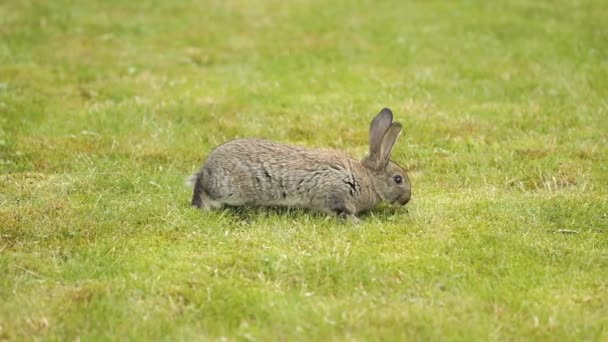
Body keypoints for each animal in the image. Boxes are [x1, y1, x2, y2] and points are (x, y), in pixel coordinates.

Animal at [188, 108, 410, 223]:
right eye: (398, 179)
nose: (407, 200)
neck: (368, 179)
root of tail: (205, 170)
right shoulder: (336, 193)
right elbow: (340, 210)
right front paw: (357, 222)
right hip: (228, 189)